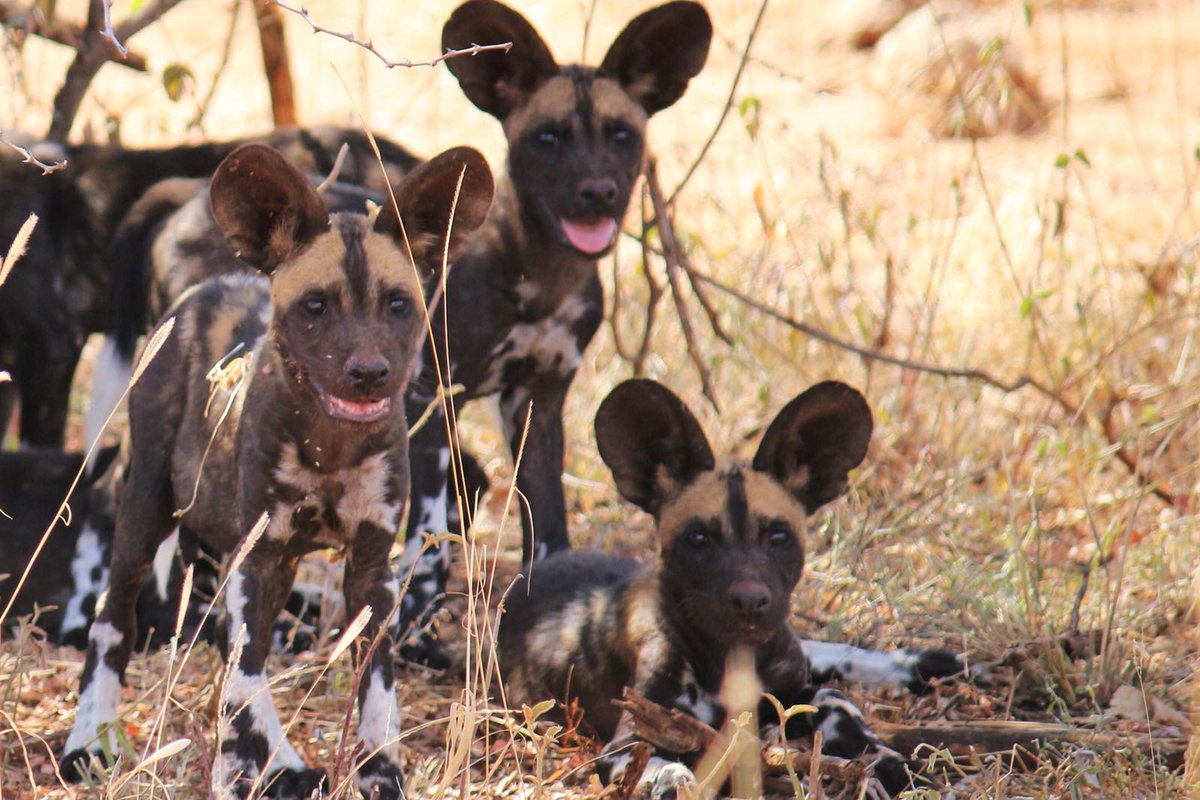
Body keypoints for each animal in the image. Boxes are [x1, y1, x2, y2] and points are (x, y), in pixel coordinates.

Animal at [59, 145, 492, 800]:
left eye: (397, 304)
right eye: (316, 307)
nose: (370, 374)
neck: (331, 449)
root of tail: (206, 286)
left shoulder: (370, 571)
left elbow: (376, 691)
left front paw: (379, 771)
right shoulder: (256, 557)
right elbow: (245, 679)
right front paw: (241, 768)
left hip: (265, 560)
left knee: (228, 639)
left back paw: (280, 760)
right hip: (148, 513)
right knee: (119, 619)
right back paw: (89, 739)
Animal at [496, 381, 955, 800]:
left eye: (778, 536)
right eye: (698, 538)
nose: (750, 601)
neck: (730, 659)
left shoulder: (791, 695)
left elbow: (837, 704)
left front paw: (887, 761)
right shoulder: (628, 742)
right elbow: (664, 770)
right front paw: (672, 781)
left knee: (826, 654)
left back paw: (921, 664)